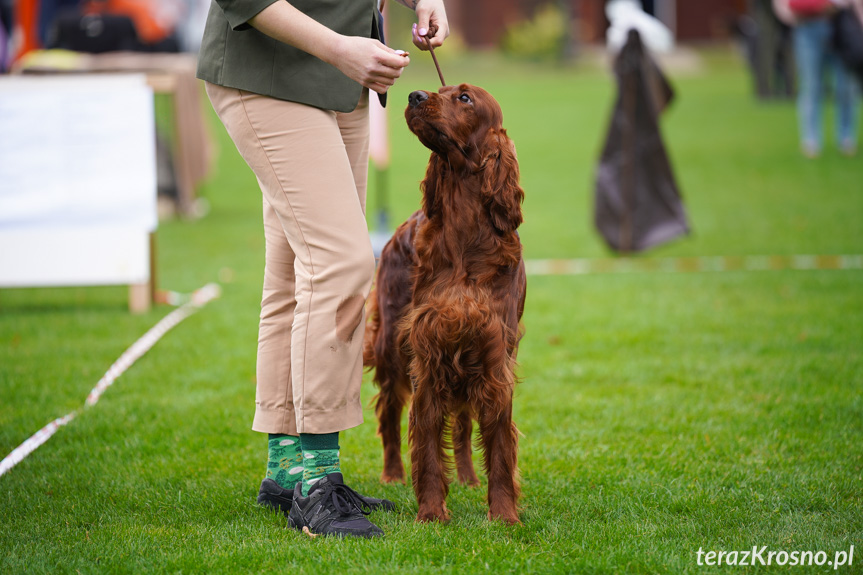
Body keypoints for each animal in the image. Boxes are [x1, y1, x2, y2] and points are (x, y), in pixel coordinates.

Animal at [364, 83, 528, 524]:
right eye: (440, 90)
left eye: (465, 98)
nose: (414, 96)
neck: (465, 238)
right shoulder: (429, 357)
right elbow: (427, 447)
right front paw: (432, 513)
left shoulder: (492, 360)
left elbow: (498, 449)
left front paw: (504, 516)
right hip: (392, 348)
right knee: (389, 412)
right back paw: (392, 474)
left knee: (464, 421)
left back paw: (470, 477)